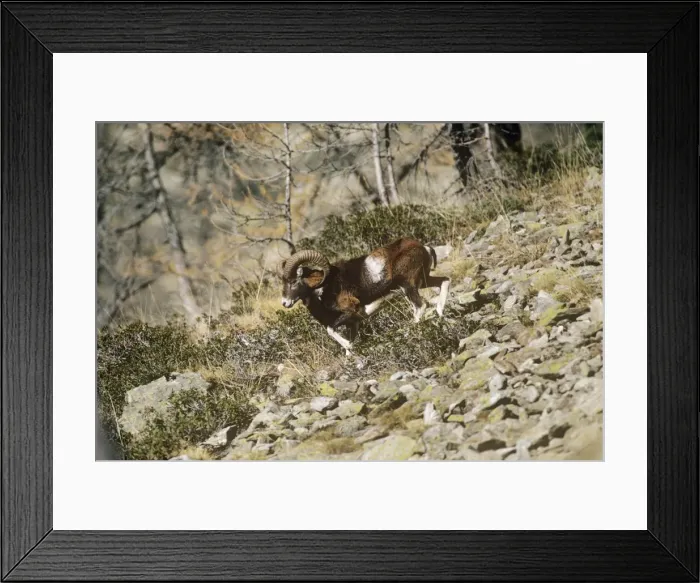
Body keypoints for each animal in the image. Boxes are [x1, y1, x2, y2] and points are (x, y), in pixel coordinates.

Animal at [277, 237, 450, 355]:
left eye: (293, 281)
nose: (285, 303)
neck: (323, 289)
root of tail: (423, 248)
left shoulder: (351, 311)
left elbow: (331, 330)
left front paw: (348, 346)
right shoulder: (353, 324)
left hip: (408, 286)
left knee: (420, 306)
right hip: (423, 281)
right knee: (444, 281)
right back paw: (440, 313)